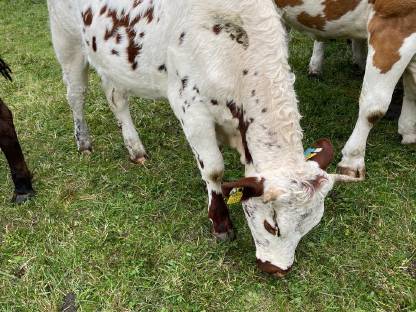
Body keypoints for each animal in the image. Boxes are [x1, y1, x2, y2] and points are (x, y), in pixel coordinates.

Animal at [46, 0, 358, 276]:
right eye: (272, 226)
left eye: (309, 227)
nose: (277, 270)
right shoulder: (191, 108)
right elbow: (214, 168)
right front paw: (220, 223)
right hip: (67, 42)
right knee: (76, 94)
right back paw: (84, 142)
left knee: (116, 98)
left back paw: (135, 149)